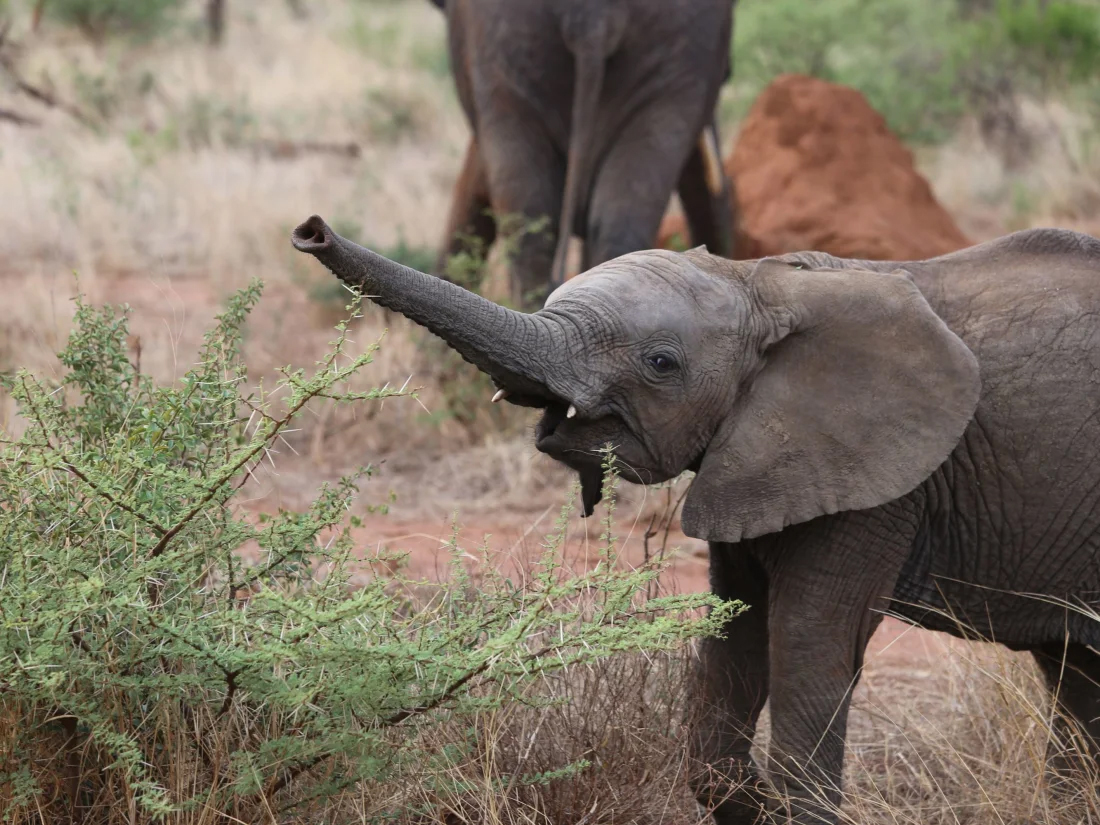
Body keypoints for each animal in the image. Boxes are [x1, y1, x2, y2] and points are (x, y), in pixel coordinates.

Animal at [291, 215, 1100, 824]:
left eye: (660, 363)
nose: (310, 230)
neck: (767, 282)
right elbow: (733, 644)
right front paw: (753, 804)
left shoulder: (884, 483)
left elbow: (811, 650)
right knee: (1077, 673)